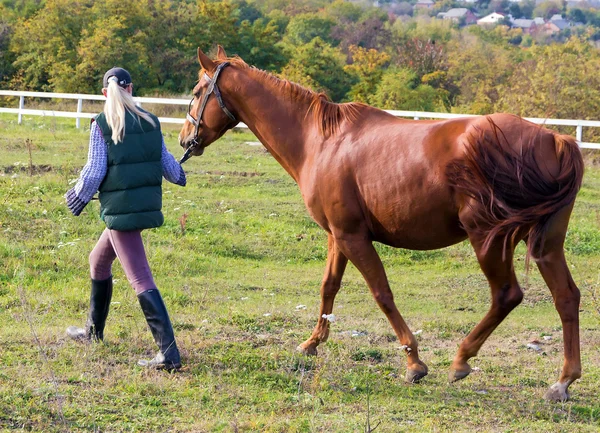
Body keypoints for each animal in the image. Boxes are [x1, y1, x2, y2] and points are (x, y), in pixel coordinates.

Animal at [180, 45, 584, 400]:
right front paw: (312, 343)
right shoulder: (338, 236)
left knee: (507, 295)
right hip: (544, 243)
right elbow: (329, 287)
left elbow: (382, 293)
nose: (186, 140)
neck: (320, 141)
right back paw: (562, 381)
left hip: (488, 239)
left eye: (197, 92)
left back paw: (461, 360)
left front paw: (414, 363)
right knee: (566, 297)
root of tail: (555, 139)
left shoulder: (353, 237)